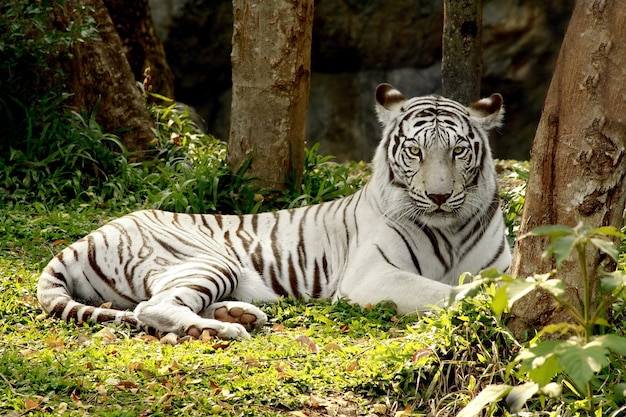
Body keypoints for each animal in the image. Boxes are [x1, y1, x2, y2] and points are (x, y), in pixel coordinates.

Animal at [37, 83, 508, 338]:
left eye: (458, 151)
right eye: (415, 151)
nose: (439, 196)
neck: (449, 227)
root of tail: (86, 238)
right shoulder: (371, 276)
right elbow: (451, 291)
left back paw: (237, 313)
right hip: (205, 262)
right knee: (152, 308)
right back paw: (224, 327)